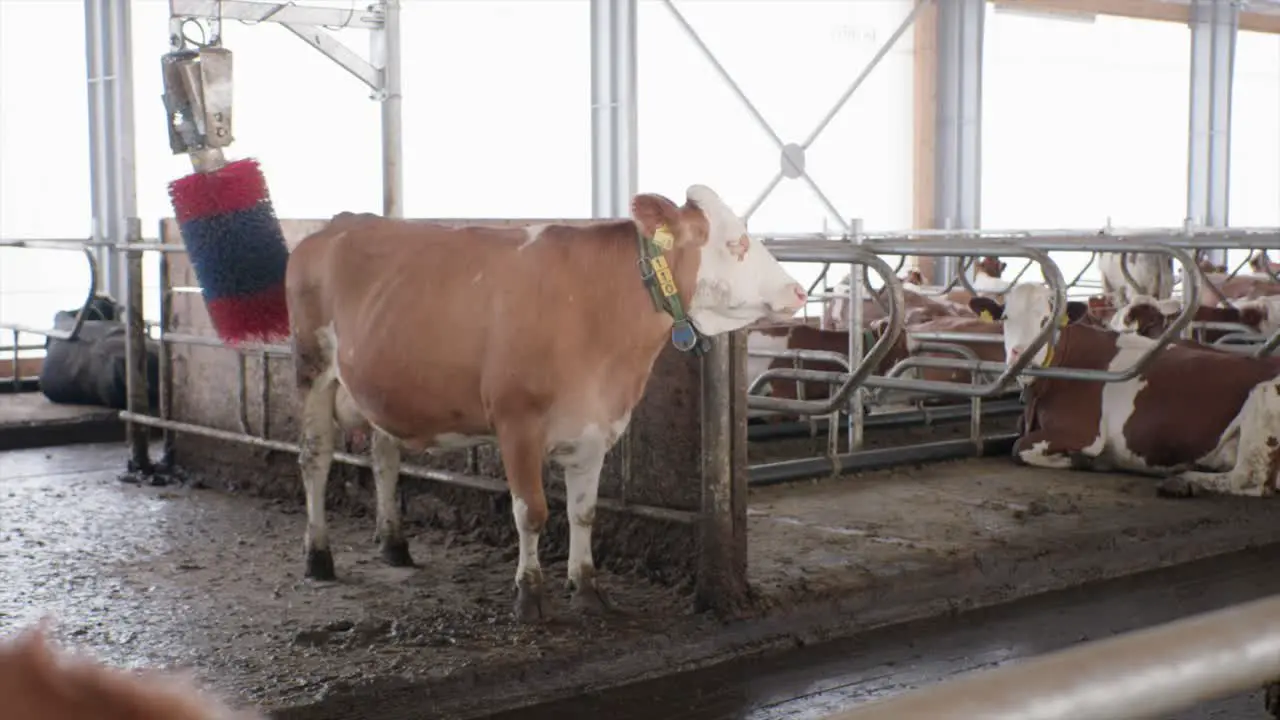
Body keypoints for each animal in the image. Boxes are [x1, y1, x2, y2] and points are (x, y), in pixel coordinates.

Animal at [288, 183, 808, 617]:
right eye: (735, 243)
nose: (799, 290)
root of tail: (340, 223)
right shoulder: (516, 422)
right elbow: (532, 512)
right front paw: (529, 593)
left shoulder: (598, 425)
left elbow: (584, 512)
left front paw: (588, 588)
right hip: (312, 368)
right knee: (314, 460)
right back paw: (318, 556)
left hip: (382, 387)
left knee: (384, 459)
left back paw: (394, 544)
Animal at [967, 283, 1280, 497]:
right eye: (1005, 318)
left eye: (1047, 320)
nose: (1020, 353)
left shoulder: (1084, 433)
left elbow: (1018, 447)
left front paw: (1081, 460)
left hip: (1263, 399)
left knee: (1248, 478)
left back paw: (1183, 481)